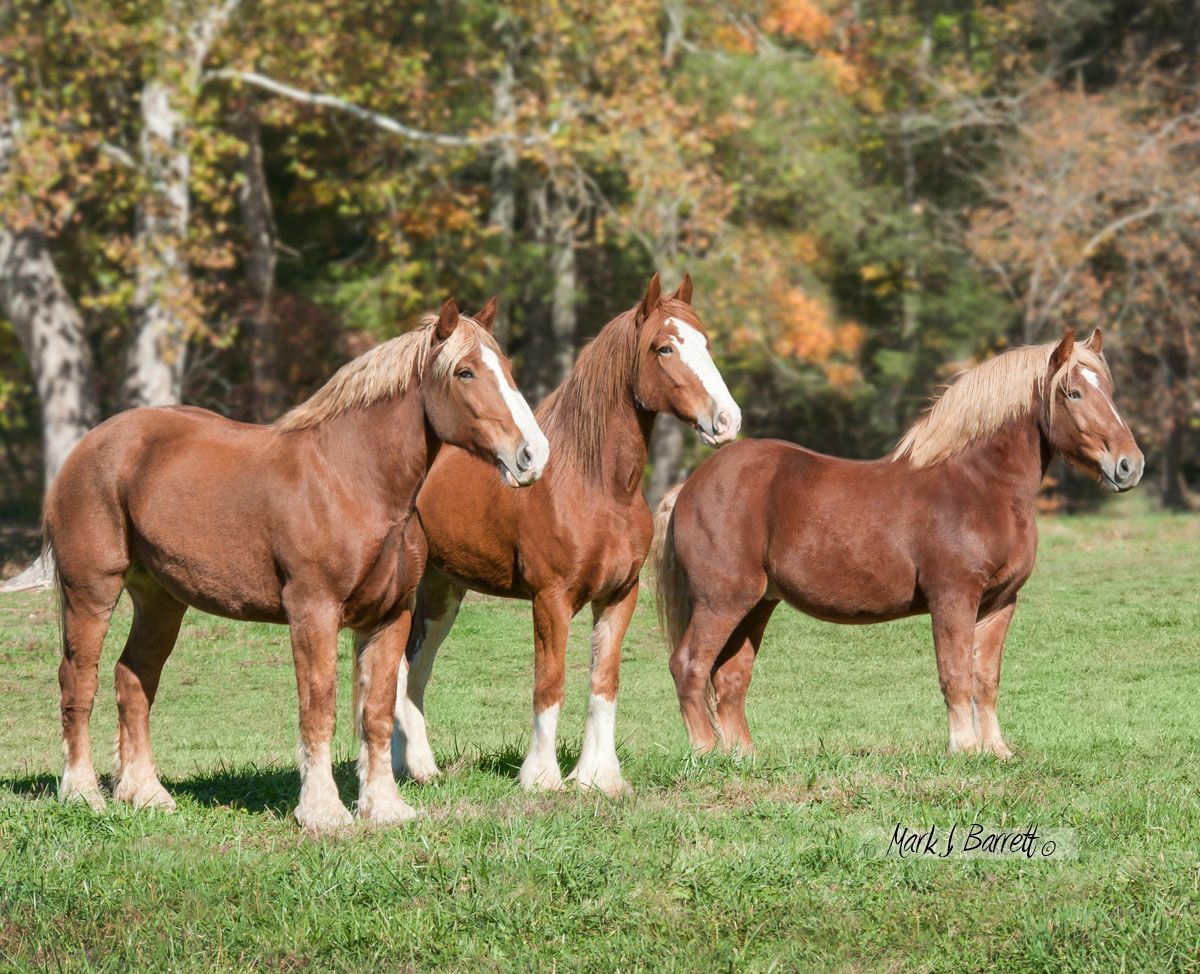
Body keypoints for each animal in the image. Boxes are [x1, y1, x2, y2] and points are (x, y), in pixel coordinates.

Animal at [45, 297, 549, 834]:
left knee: (133, 679)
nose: (533, 455)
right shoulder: (314, 612)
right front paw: (322, 811)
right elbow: (319, 708)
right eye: (464, 372)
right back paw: (82, 793)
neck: (351, 481)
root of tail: (86, 448)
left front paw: (384, 806)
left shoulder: (390, 616)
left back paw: (144, 793)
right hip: (90, 592)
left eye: (507, 368)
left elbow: (376, 711)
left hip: (161, 600)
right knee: (79, 681)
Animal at [391, 272, 741, 795]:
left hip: (442, 591)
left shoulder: (620, 596)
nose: (726, 420)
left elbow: (603, 682)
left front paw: (599, 777)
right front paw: (541, 779)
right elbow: (550, 682)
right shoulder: (551, 599)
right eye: (663, 348)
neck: (595, 486)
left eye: (705, 343)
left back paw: (417, 768)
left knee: (415, 669)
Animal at [651, 329, 1143, 758]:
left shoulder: (1000, 603)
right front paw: (965, 750)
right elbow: (955, 674)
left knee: (730, 678)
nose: (1130, 466)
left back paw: (744, 758)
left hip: (756, 605)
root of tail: (689, 486)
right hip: (721, 601)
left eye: (1109, 389)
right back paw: (705, 752)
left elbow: (986, 678)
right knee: (689, 665)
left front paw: (997, 751)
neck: (978, 486)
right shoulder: (953, 598)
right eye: (1073, 393)